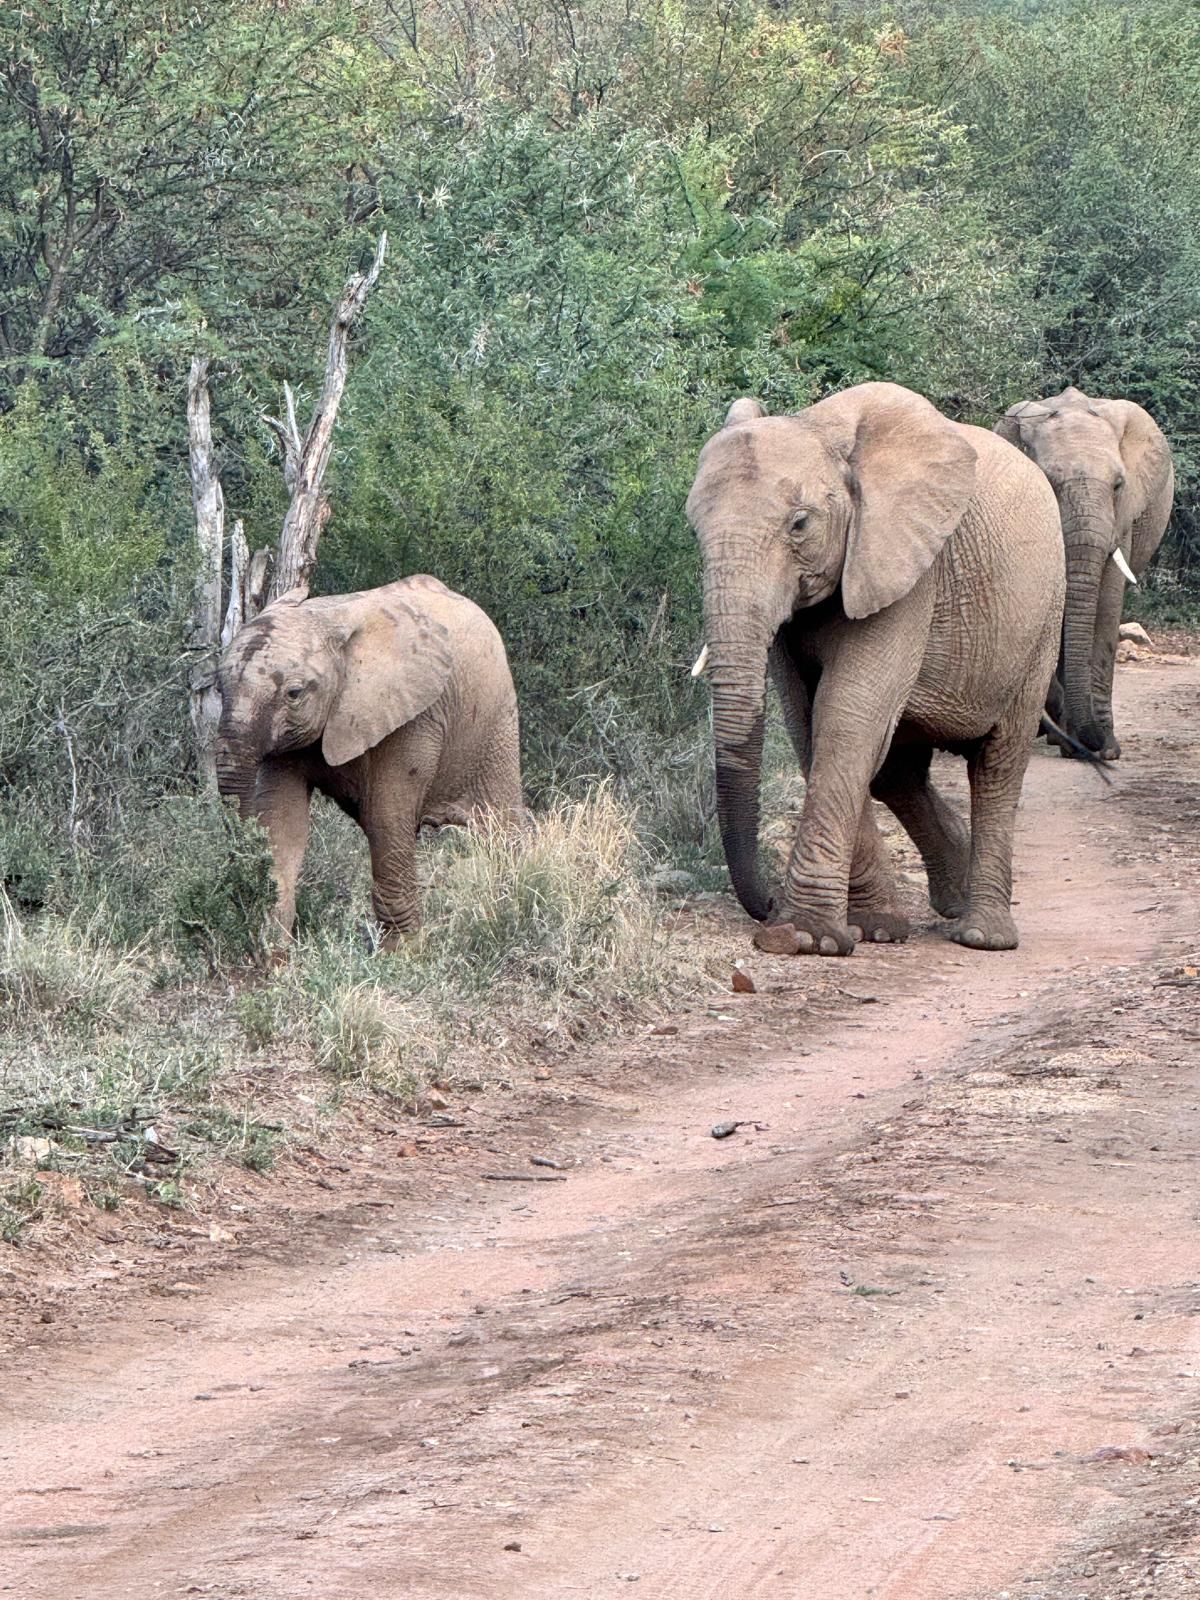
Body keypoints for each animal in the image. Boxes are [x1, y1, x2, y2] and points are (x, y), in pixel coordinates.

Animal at [215, 575, 524, 947]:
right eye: (218, 687)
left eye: (294, 694)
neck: (331, 622)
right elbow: (281, 821)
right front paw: (271, 953)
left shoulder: (415, 713)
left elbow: (386, 818)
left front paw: (404, 954)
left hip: (495, 721)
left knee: (502, 829)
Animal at [687, 381, 1065, 957]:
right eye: (695, 529)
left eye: (800, 524)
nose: (766, 904)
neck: (820, 429)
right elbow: (810, 724)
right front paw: (872, 930)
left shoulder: (906, 569)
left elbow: (847, 716)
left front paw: (803, 937)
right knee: (897, 775)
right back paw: (948, 899)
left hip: (1043, 623)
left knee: (998, 764)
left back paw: (982, 935)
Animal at [995, 386, 1173, 760]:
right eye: (1050, 481)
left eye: (1118, 485)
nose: (1092, 742)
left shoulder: (1123, 516)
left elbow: (1106, 602)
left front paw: (1106, 749)